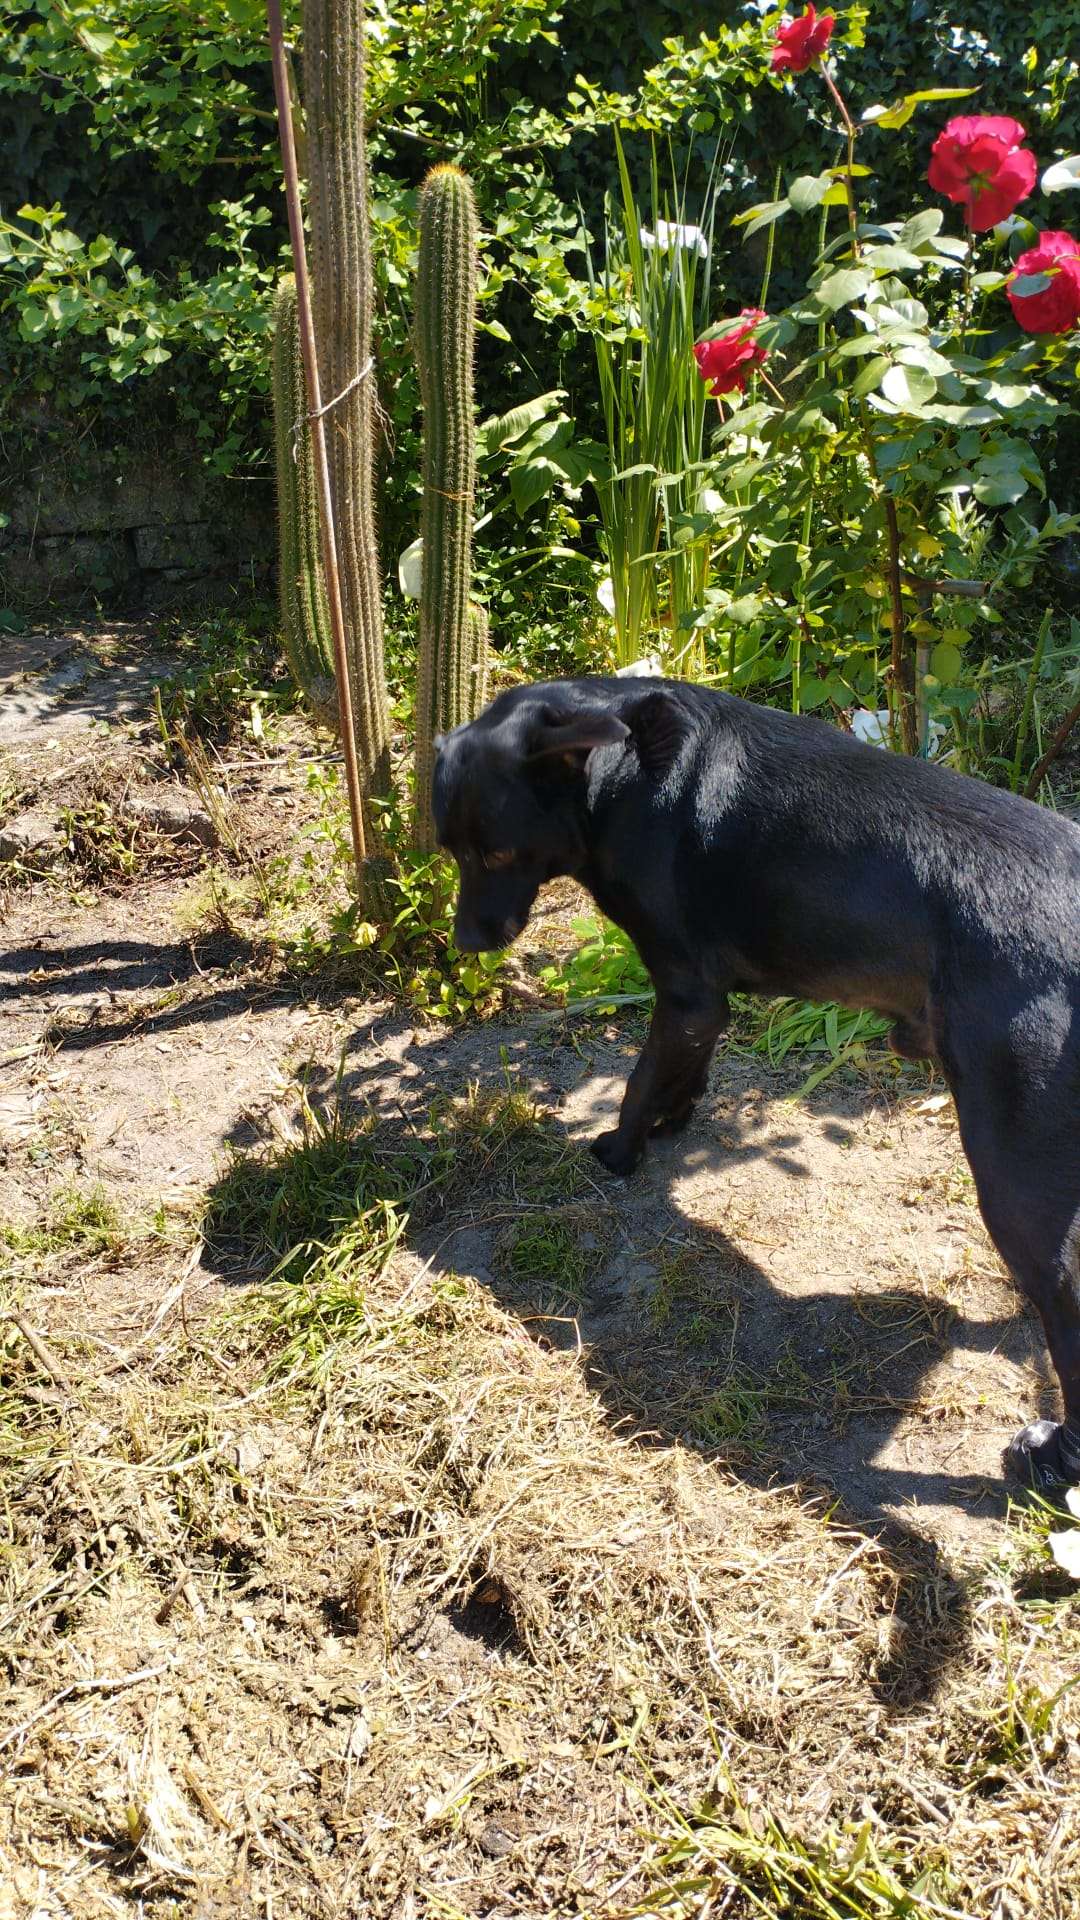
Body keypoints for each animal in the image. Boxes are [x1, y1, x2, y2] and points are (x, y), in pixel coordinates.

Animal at [432, 679, 1076, 1497]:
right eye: (450, 851)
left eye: (500, 852)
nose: (465, 945)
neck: (621, 775)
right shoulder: (702, 1006)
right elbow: (685, 1070)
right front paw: (673, 1120)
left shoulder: (684, 990)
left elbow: (639, 1081)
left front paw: (619, 1151)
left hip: (1015, 1176)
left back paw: (1054, 1452)